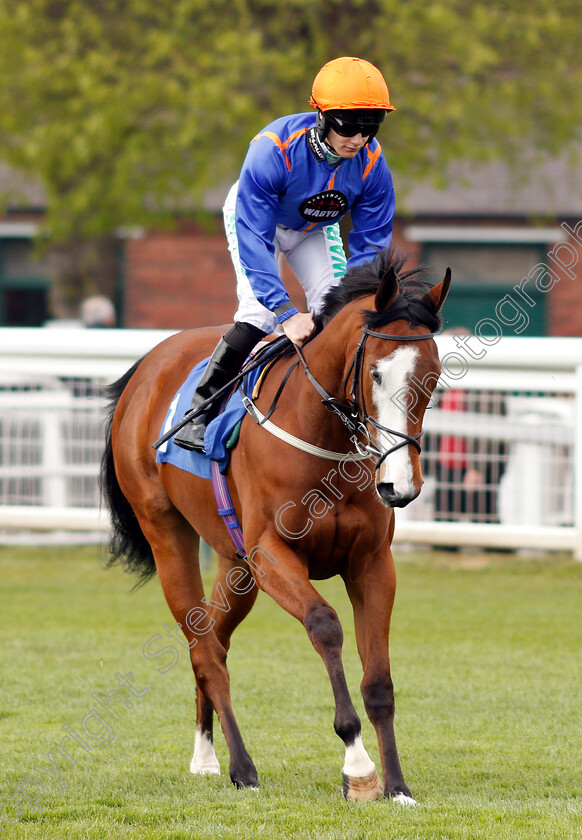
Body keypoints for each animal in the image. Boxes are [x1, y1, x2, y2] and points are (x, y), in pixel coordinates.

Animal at [101, 246, 452, 804]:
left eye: (433, 376)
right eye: (376, 374)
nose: (400, 485)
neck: (323, 437)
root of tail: (145, 368)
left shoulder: (372, 563)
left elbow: (379, 681)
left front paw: (397, 785)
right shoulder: (272, 556)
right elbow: (325, 624)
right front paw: (358, 767)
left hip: (235, 564)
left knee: (214, 637)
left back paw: (206, 755)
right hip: (167, 532)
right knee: (203, 648)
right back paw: (241, 767)